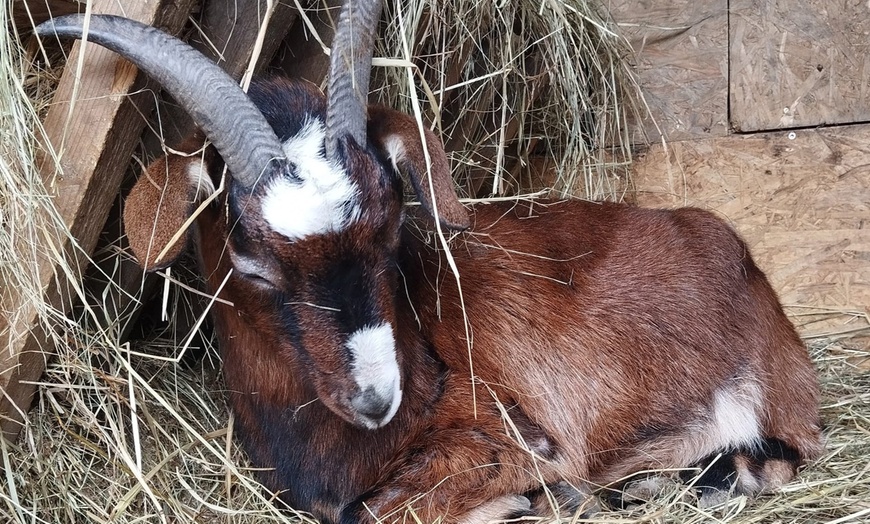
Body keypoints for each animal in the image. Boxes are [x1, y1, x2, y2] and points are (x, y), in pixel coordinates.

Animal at [35, 7, 824, 524]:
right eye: (251, 262)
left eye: (390, 230)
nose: (376, 397)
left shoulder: (510, 434)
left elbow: (380, 511)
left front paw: (530, 501)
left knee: (781, 450)